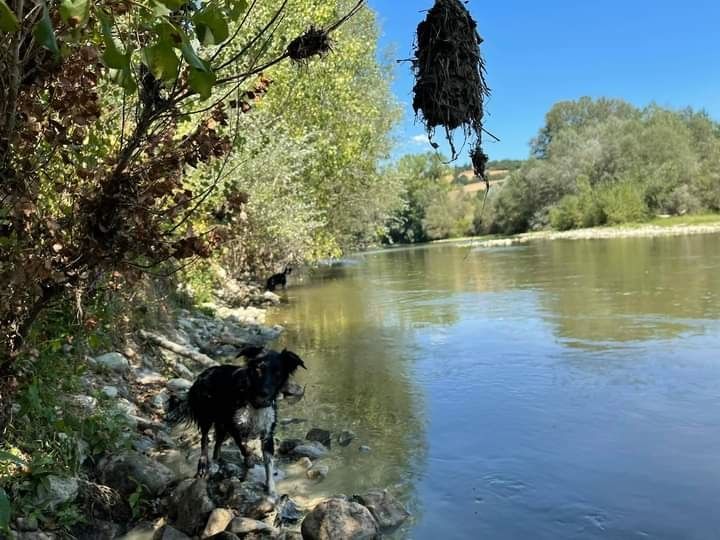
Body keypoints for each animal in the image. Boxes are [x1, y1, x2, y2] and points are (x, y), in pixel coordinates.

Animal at [167, 346, 306, 494]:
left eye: (277, 373)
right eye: (258, 370)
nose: (264, 392)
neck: (254, 402)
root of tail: (204, 373)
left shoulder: (268, 433)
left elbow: (268, 464)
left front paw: (271, 489)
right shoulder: (232, 425)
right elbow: (243, 446)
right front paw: (249, 459)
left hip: (221, 425)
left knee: (217, 444)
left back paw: (218, 460)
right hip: (207, 417)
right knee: (204, 440)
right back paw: (203, 464)